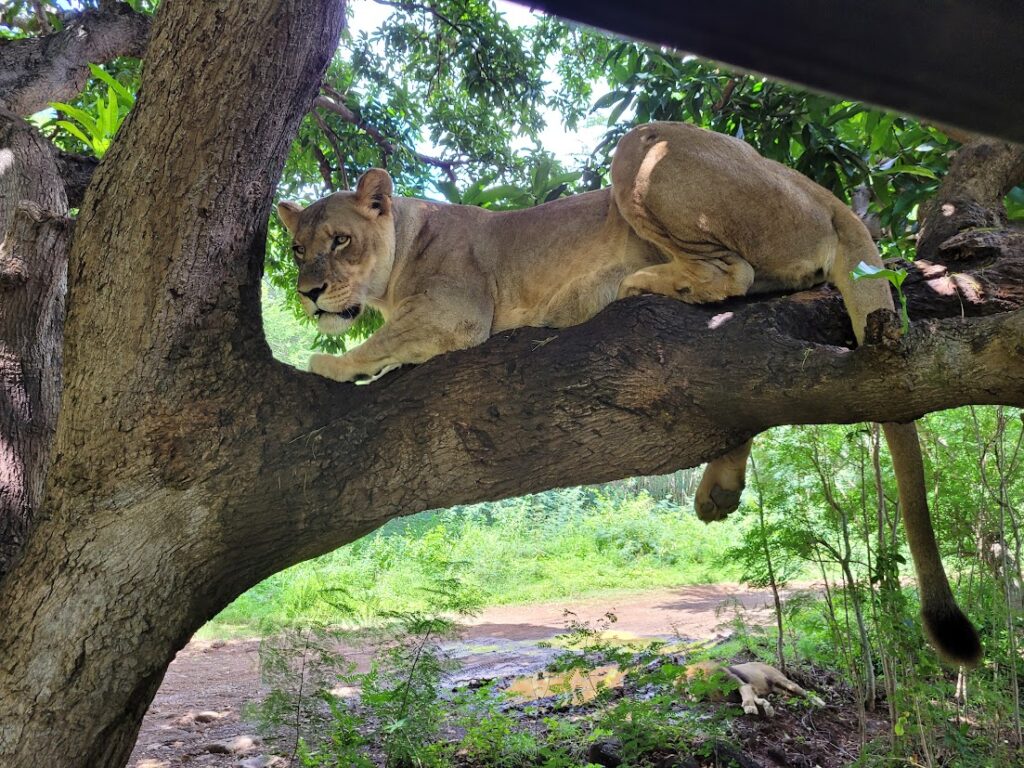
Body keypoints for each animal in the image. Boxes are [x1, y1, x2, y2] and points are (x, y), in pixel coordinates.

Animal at [277, 121, 981, 666]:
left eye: (340, 241)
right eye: (296, 248)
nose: (309, 294)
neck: (401, 249)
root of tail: (823, 191)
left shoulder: (458, 314)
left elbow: (379, 341)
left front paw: (328, 363)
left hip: (643, 151)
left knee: (729, 274)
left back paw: (633, 283)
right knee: (744, 362)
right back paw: (718, 487)